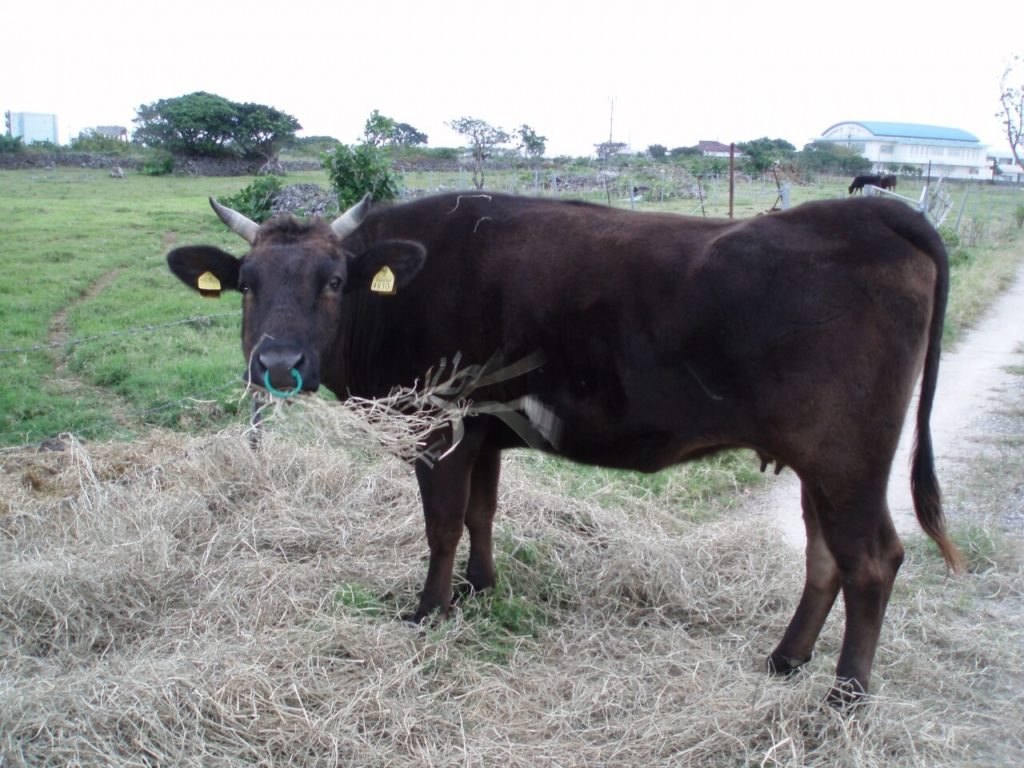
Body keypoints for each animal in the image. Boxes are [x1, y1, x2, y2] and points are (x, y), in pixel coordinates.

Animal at [167, 191, 958, 704]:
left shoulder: (438, 426)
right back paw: (786, 660)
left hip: (847, 461)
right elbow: (481, 515)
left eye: (333, 281)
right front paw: (479, 588)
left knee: (871, 562)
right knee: (825, 557)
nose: (277, 363)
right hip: (817, 465)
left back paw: (845, 696)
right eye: (246, 284)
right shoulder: (483, 433)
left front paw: (428, 611)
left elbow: (441, 525)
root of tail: (872, 211)